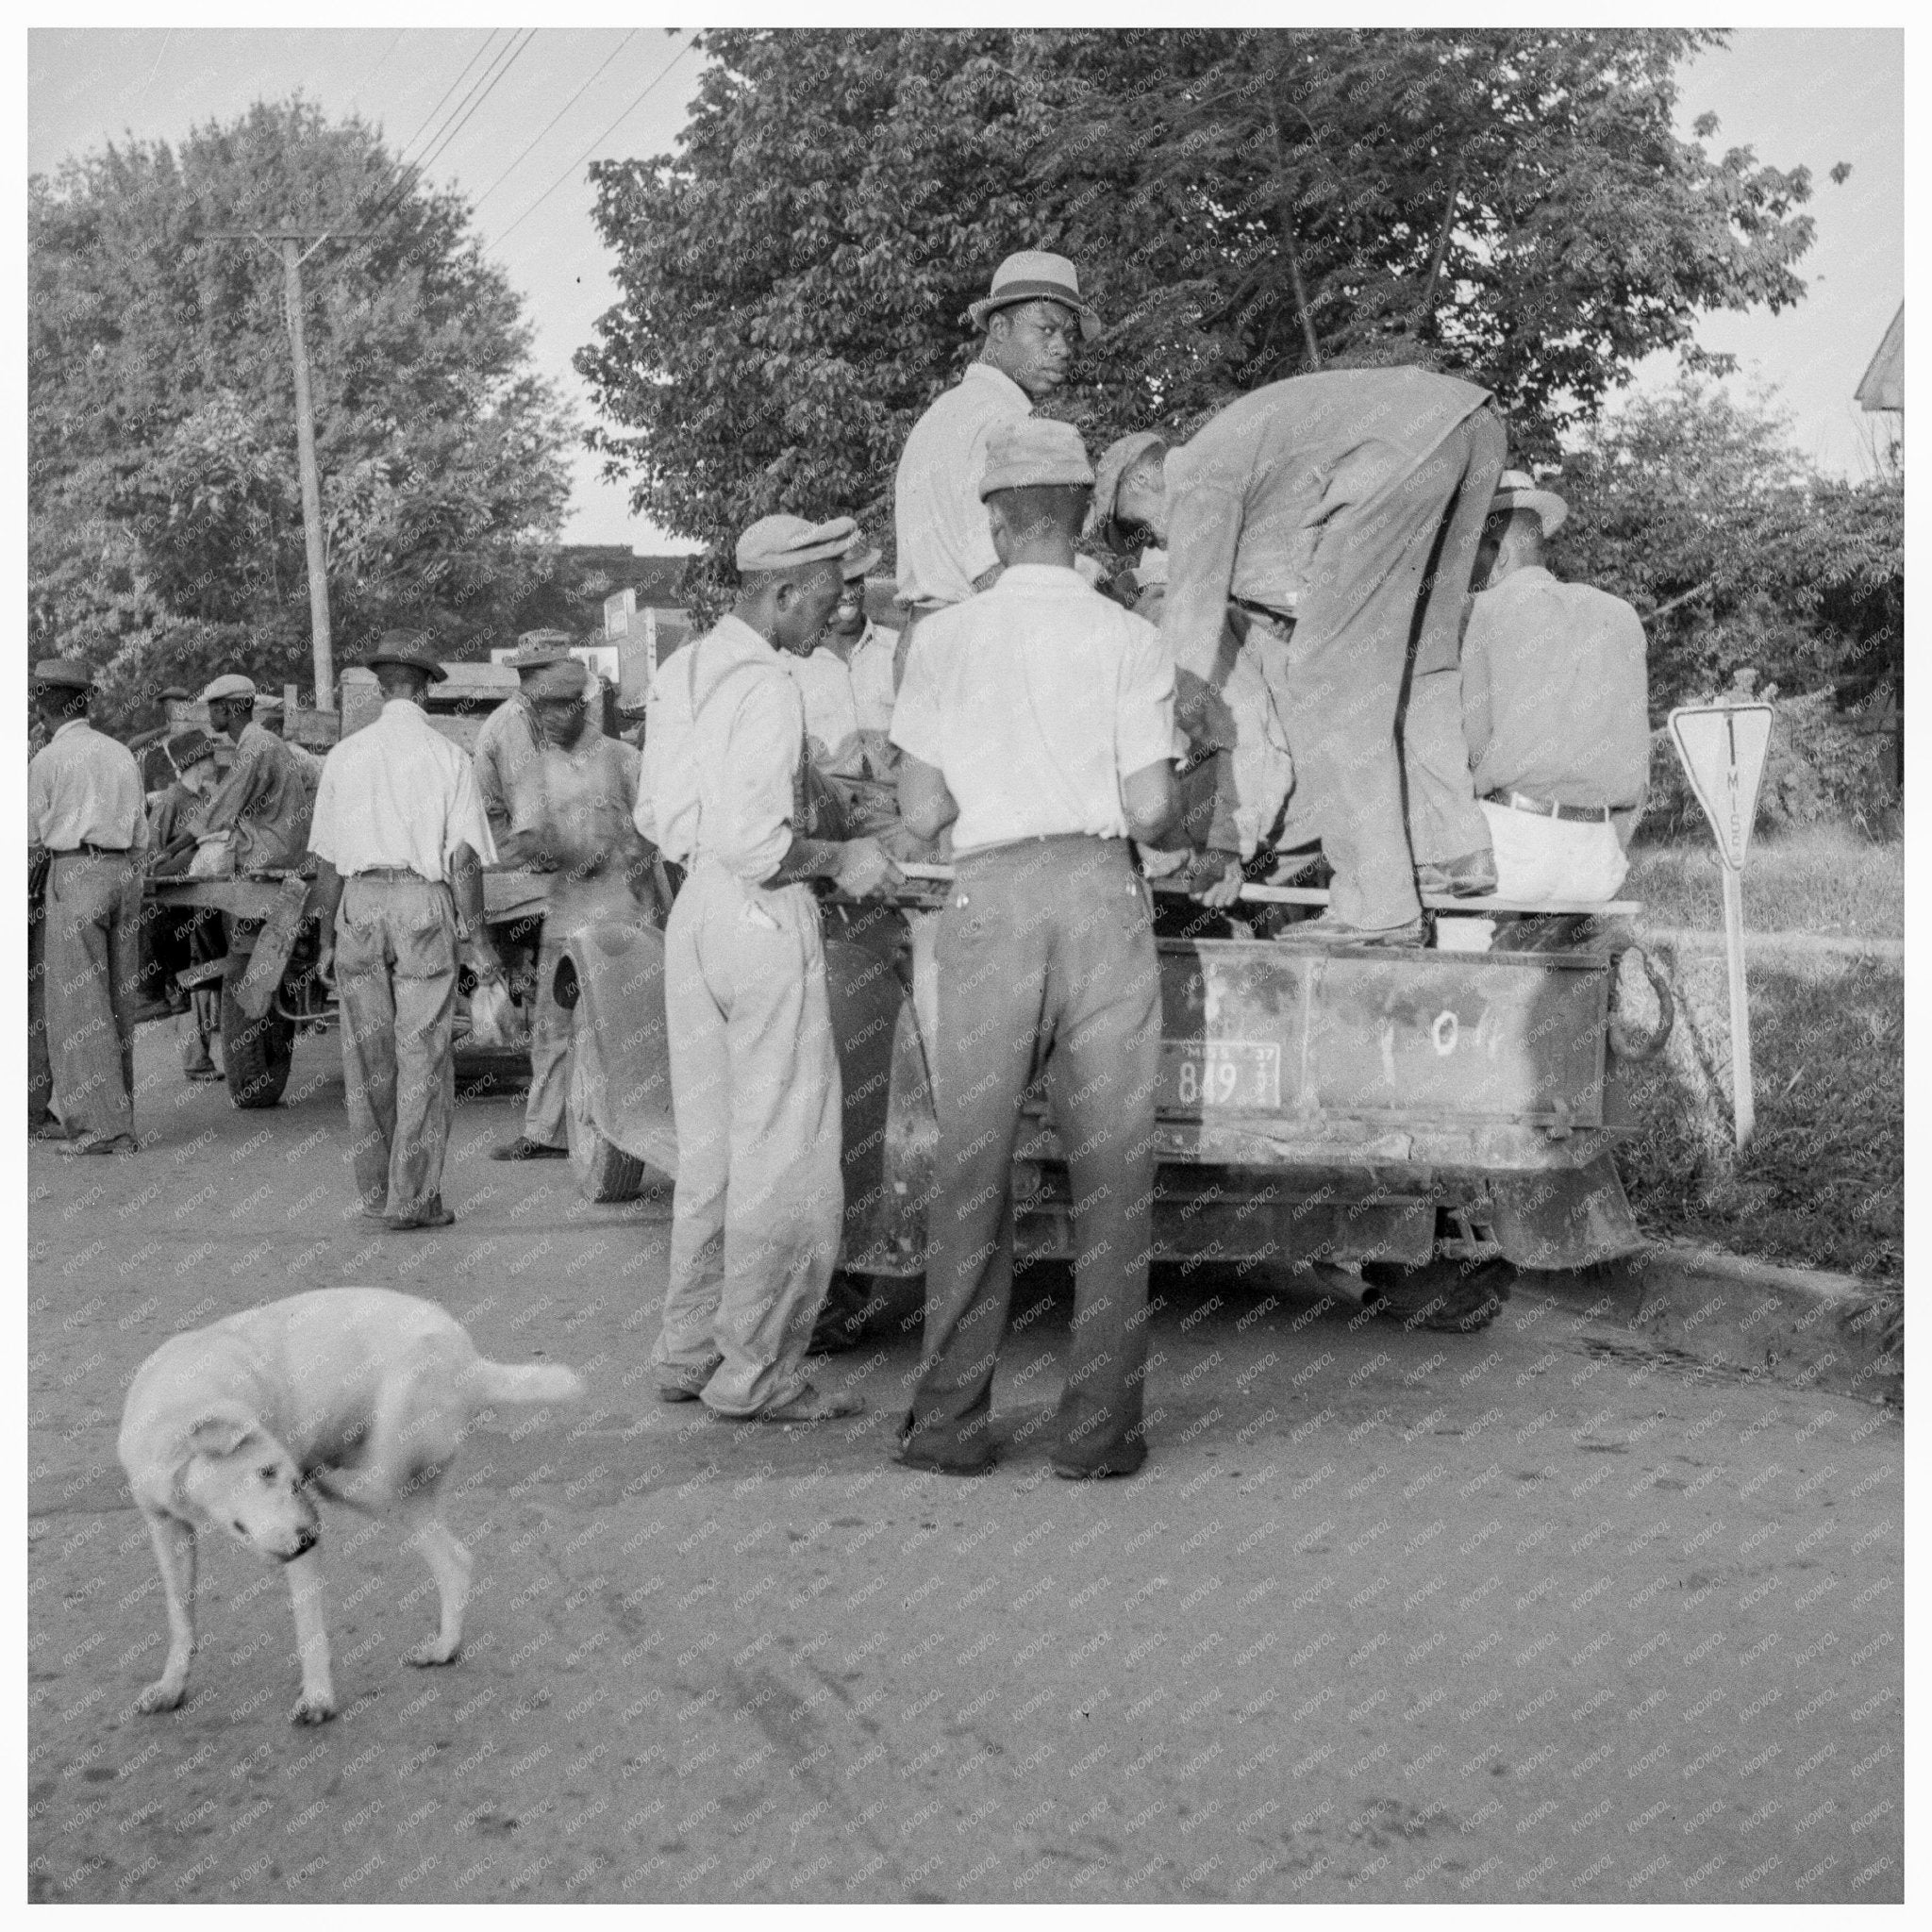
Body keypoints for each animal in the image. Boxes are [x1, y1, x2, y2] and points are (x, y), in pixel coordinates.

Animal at [116, 1291, 583, 1731]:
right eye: (266, 1472)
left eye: (284, 1477)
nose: (311, 1537)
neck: (178, 1406)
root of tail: (472, 1358)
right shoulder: (167, 1529)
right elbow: (181, 1618)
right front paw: (171, 1687)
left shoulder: (297, 1545)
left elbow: (309, 1629)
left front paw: (318, 1700)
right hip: (406, 1501)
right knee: (454, 1560)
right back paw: (445, 1648)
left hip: (389, 1467)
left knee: (392, 1505)